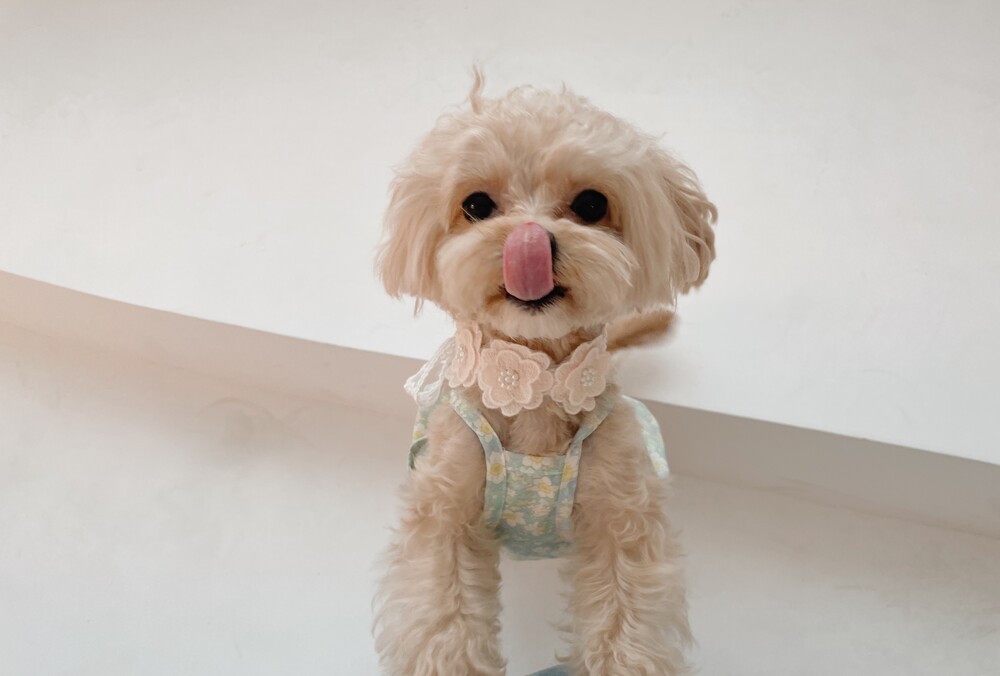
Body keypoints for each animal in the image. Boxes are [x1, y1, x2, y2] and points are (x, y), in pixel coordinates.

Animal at [373, 71, 716, 676]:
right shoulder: (444, 516)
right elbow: (444, 621)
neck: (535, 386)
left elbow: (626, 625)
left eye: (592, 203)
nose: (529, 240)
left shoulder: (622, 522)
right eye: (477, 204)